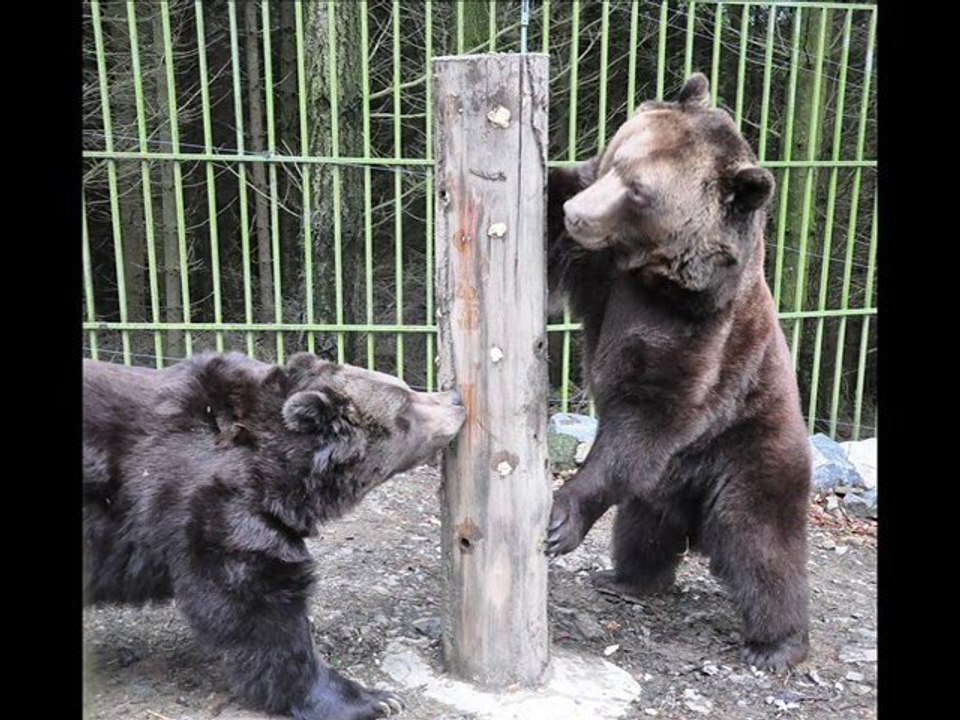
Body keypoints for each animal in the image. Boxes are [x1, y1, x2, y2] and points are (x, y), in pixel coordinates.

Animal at [83, 351, 465, 720]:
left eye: (406, 388)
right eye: (405, 403)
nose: (456, 399)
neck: (280, 472)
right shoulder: (208, 499)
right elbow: (258, 603)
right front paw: (372, 699)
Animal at [543, 73, 812, 671]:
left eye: (639, 191)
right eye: (616, 156)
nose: (578, 213)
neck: (654, 274)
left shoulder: (699, 332)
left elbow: (652, 411)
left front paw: (560, 516)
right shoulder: (601, 276)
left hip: (752, 447)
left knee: (761, 542)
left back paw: (777, 644)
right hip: (663, 485)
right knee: (643, 527)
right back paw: (628, 580)